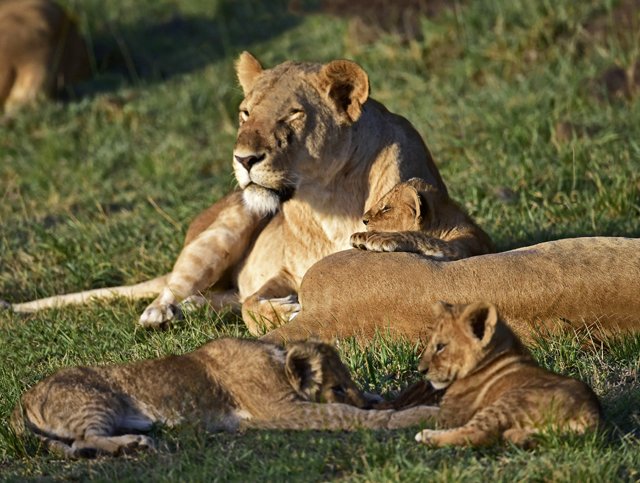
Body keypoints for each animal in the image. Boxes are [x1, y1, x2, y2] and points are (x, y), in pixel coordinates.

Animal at [5, 51, 446, 335]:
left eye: (293, 115)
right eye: (246, 113)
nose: (244, 159)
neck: (328, 199)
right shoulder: (285, 271)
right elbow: (254, 305)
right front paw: (287, 311)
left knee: (219, 296)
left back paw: (194, 308)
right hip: (228, 225)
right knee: (177, 286)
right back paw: (162, 314)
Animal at [12, 338, 438, 458]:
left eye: (348, 380)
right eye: (334, 386)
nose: (362, 399)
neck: (275, 358)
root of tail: (23, 398)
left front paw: (379, 398)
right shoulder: (279, 410)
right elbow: (344, 416)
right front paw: (414, 415)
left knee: (73, 446)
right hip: (96, 402)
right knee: (83, 438)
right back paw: (132, 443)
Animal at [350, 177, 494, 260]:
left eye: (386, 208)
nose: (363, 220)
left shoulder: (465, 247)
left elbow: (422, 237)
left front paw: (378, 238)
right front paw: (359, 236)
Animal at [414, 301, 602, 447]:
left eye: (440, 346)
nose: (421, 370)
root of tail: (592, 418)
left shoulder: (449, 417)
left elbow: (422, 413)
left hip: (510, 401)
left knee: (477, 434)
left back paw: (426, 436)